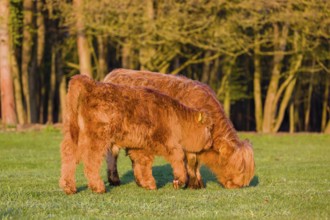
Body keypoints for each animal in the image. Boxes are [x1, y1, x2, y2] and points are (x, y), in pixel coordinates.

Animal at [59, 74, 214, 194]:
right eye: (209, 129)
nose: (211, 143)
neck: (176, 116)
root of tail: (92, 84)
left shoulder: (140, 146)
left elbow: (143, 164)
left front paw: (148, 183)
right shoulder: (166, 140)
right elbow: (178, 156)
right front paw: (179, 180)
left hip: (73, 134)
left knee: (69, 156)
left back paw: (69, 187)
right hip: (97, 138)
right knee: (91, 159)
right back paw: (98, 187)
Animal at [104, 69, 255, 189]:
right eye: (240, 167)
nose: (240, 185)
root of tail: (113, 74)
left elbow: (195, 163)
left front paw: (196, 183)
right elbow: (191, 161)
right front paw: (193, 183)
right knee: (112, 154)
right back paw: (114, 180)